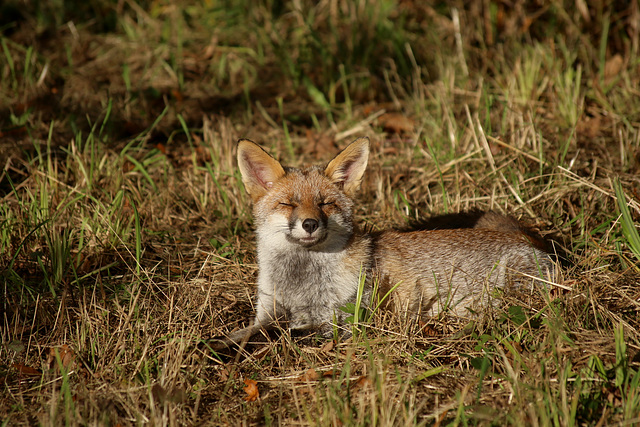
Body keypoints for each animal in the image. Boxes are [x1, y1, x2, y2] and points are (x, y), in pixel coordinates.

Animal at [215, 137, 556, 348]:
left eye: (325, 204)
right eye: (288, 204)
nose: (309, 224)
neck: (301, 286)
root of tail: (531, 241)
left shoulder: (346, 319)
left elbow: (282, 334)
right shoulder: (268, 310)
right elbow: (245, 334)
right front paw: (215, 346)